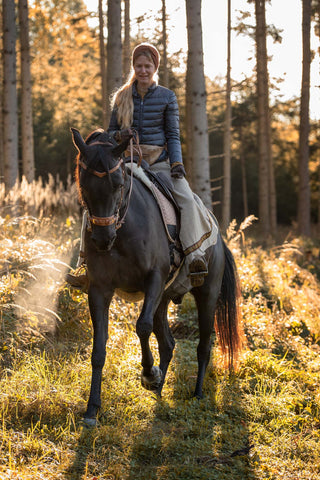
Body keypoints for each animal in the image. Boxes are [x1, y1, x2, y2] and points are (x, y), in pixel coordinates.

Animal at [70, 126, 242, 424]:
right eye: (84, 184)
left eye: (118, 184)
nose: (102, 239)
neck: (124, 230)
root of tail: (219, 240)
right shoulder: (100, 289)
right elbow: (99, 347)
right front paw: (92, 409)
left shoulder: (154, 279)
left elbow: (142, 326)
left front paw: (149, 374)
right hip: (164, 298)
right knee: (169, 343)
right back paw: (160, 389)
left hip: (206, 295)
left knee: (204, 345)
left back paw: (196, 393)